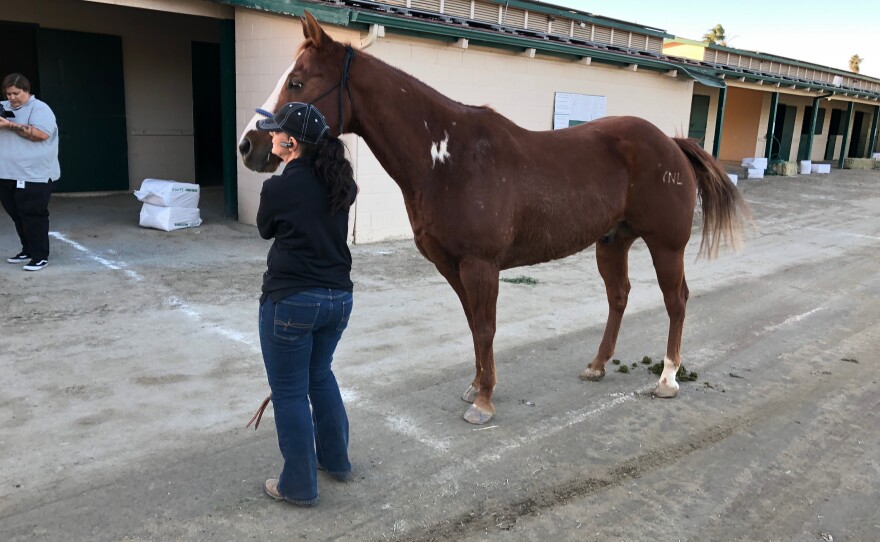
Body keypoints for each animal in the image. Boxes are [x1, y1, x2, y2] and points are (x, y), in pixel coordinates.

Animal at [239, 11, 748, 424]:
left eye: (298, 82)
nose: (249, 146)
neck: (448, 157)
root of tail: (671, 142)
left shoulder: (481, 265)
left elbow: (485, 327)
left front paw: (483, 403)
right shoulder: (453, 266)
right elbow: (473, 325)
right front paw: (477, 387)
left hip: (666, 245)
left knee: (676, 301)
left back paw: (668, 379)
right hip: (612, 241)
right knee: (619, 297)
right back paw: (598, 365)